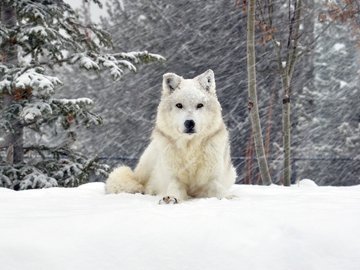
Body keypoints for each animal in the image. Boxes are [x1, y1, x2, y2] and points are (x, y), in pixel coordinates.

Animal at [105, 69, 238, 202]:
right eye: (179, 105)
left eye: (200, 105)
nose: (189, 123)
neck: (190, 149)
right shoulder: (174, 179)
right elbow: (175, 189)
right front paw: (170, 199)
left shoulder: (211, 179)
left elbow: (219, 190)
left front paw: (229, 197)